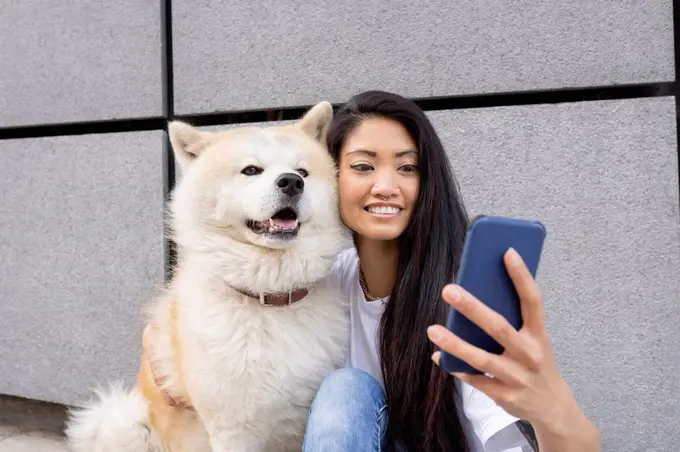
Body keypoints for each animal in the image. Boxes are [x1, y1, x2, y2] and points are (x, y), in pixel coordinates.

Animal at [65, 102, 350, 452]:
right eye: (251, 170)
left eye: (303, 172)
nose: (292, 182)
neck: (269, 298)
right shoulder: (233, 430)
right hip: (123, 421)